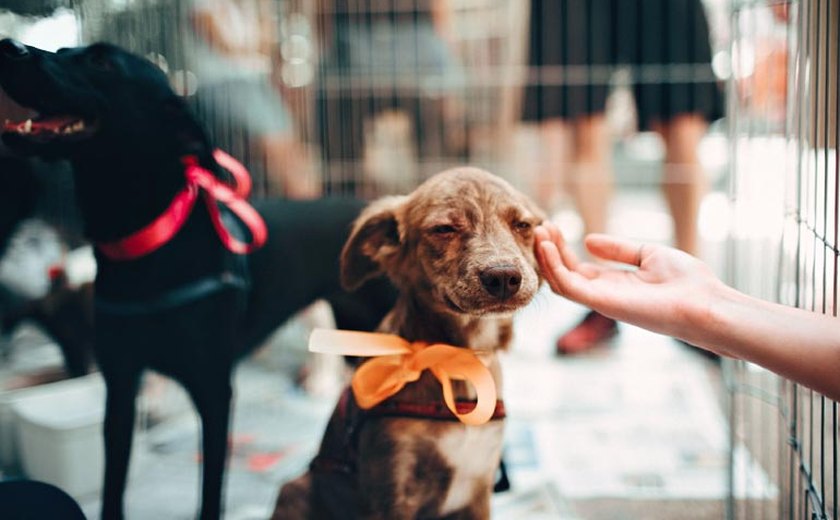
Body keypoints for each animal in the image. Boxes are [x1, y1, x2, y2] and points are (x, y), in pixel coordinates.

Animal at [0, 38, 396, 516]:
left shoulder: (214, 392)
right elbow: (113, 486)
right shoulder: (121, 386)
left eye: (101, 61)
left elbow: (210, 491)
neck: (146, 244)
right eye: (61, 49)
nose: (8, 47)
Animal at [274, 169, 544, 516]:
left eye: (522, 225)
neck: (456, 359)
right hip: (295, 489)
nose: (503, 278)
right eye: (444, 229)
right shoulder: (392, 489)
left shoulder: (479, 489)